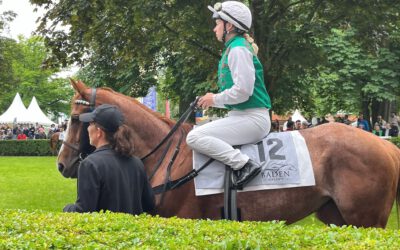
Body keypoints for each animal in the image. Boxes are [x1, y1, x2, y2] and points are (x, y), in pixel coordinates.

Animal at [57, 79, 400, 228]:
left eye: (74, 118)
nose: (61, 164)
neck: (169, 155)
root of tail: (385, 144)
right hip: (336, 217)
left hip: (367, 219)